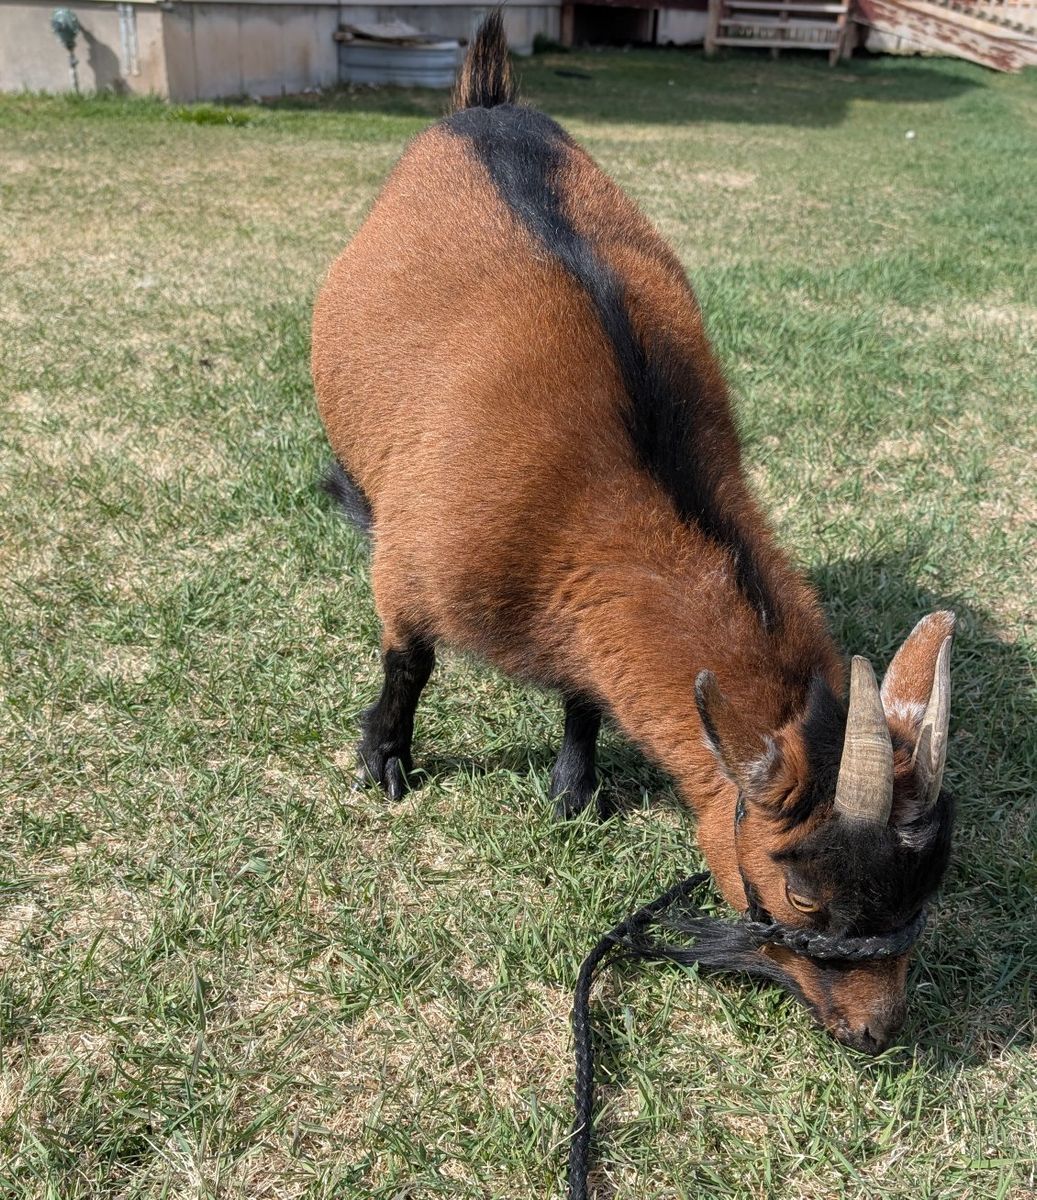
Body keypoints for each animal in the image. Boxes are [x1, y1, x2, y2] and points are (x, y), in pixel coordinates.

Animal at [311, 13, 955, 1053]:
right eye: (803, 898)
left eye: (927, 889)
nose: (876, 1030)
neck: (613, 477)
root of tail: (485, 105)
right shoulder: (415, 567)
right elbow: (408, 660)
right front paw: (385, 759)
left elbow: (584, 692)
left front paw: (575, 791)